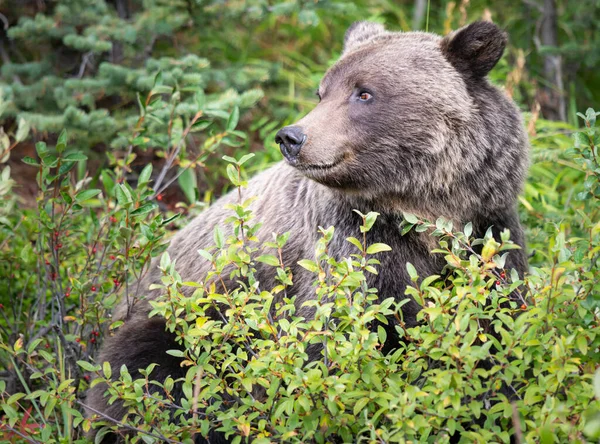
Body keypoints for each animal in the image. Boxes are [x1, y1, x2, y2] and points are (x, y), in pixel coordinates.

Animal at [86, 20, 528, 440]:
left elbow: (501, 335)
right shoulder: (349, 252)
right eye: (322, 92)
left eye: (364, 93)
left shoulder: (489, 232)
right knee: (144, 370)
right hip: (181, 315)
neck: (420, 210)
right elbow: (330, 347)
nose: (291, 137)